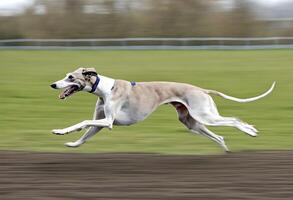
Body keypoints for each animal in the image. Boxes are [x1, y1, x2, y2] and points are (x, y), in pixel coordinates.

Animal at [50, 67, 274, 152]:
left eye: (70, 77)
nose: (53, 84)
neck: (105, 88)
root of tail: (200, 89)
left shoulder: (108, 122)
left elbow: (82, 122)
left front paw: (61, 131)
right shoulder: (100, 123)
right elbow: (86, 133)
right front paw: (72, 143)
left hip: (205, 115)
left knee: (234, 120)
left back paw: (250, 131)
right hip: (191, 122)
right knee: (219, 136)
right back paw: (226, 149)